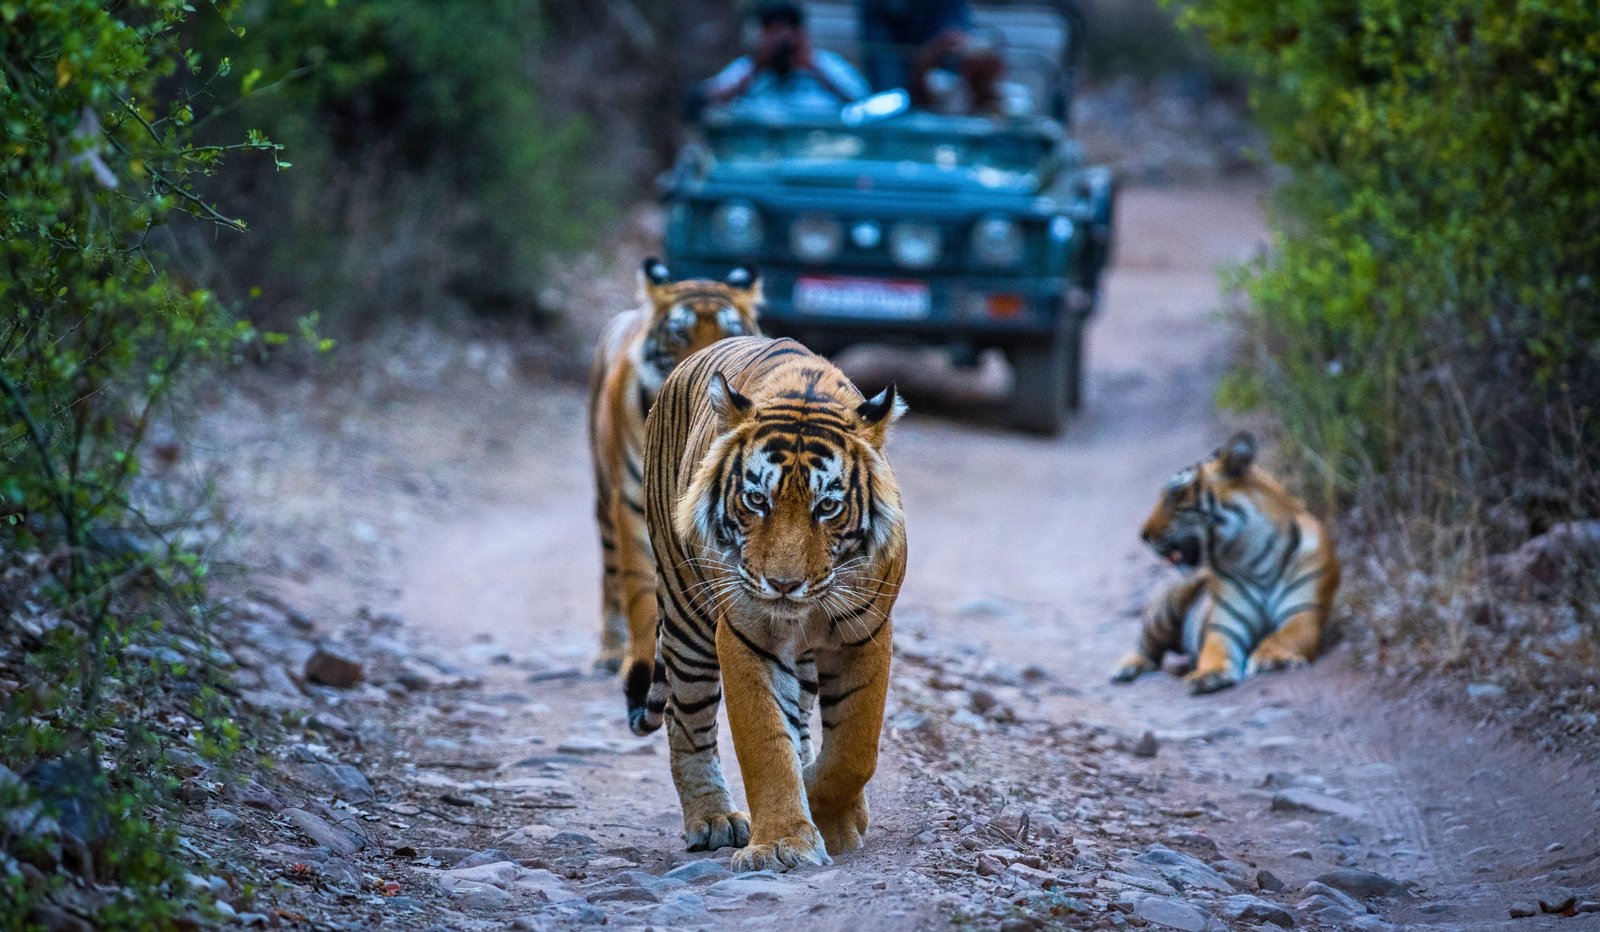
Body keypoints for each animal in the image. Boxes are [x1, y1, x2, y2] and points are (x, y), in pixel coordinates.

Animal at [588, 258, 762, 673]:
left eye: (730, 332)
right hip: (604, 496)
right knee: (610, 571)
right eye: (681, 333)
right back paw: (608, 651)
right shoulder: (631, 502)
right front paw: (638, 659)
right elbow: (637, 589)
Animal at [632, 336, 907, 873]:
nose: (782, 584)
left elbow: (855, 748)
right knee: (686, 719)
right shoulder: (745, 634)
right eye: (757, 500)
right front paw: (783, 841)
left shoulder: (867, 632)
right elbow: (765, 742)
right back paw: (713, 819)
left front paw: (832, 812)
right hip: (686, 614)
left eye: (828, 507)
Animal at [1111, 431, 1340, 694]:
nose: (1143, 535)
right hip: (1167, 607)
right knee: (1145, 646)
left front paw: (1271, 658)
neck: (1253, 556)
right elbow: (1214, 650)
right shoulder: (1224, 625)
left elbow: (1284, 636)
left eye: (1174, 494)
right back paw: (1126, 668)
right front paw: (1209, 674)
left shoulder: (1303, 612)